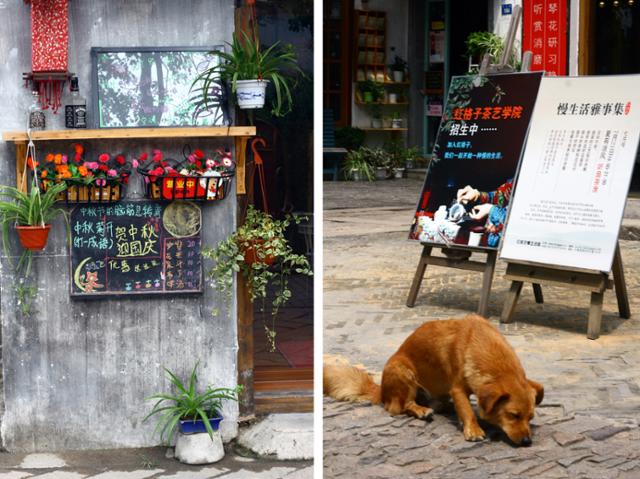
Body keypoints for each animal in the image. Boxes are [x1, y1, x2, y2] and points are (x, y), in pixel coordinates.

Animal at [322, 316, 544, 446]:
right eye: (513, 415)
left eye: (530, 417)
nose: (527, 441)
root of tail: (382, 392)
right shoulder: (457, 388)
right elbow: (467, 410)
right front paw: (473, 430)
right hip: (403, 372)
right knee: (402, 406)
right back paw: (422, 410)